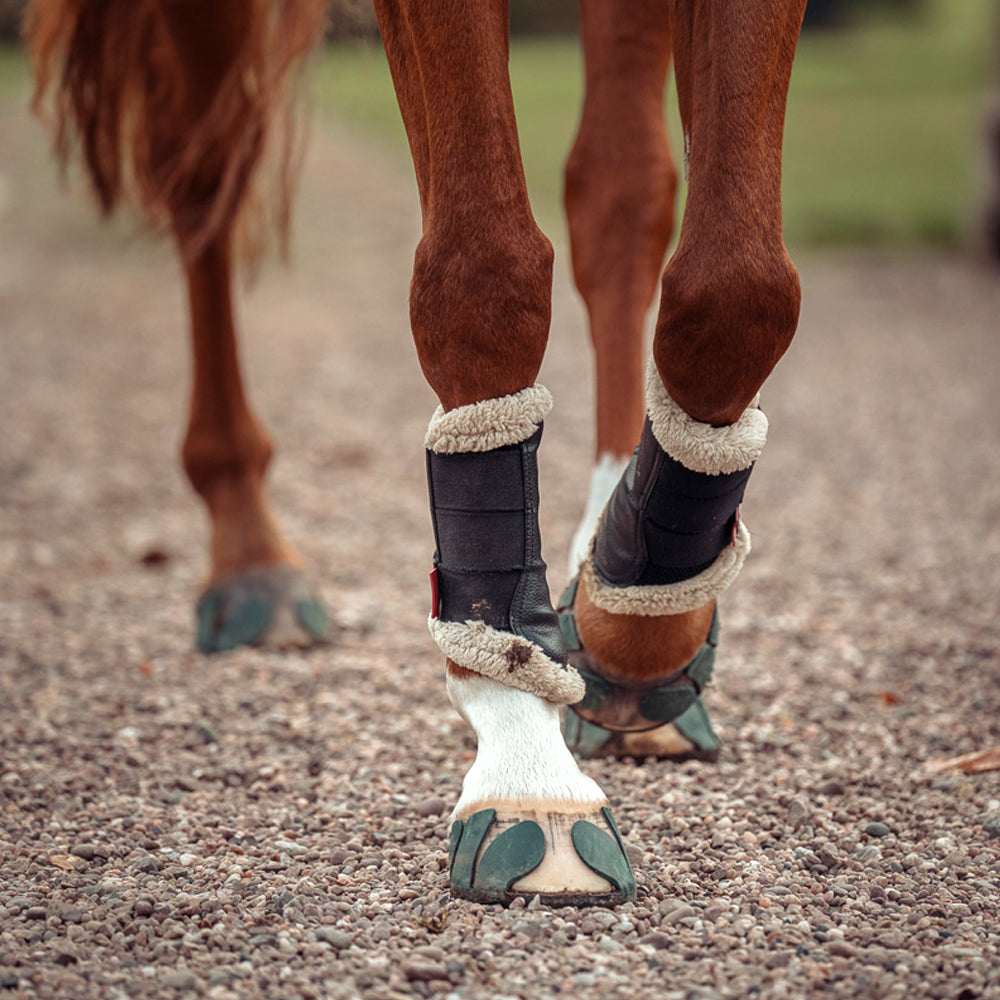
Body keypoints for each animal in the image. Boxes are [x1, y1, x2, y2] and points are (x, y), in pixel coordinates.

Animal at [25, 0, 808, 905]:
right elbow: (483, 274)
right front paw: (529, 767)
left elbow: (735, 293)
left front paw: (623, 616)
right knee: (202, 161)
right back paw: (252, 561)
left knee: (620, 189)